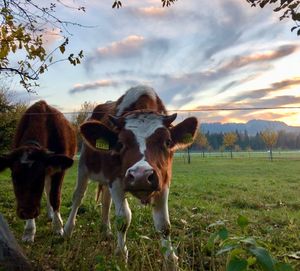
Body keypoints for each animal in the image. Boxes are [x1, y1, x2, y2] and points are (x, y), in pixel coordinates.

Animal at [0, 101, 76, 243]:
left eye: (38, 178)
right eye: (14, 177)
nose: (27, 212)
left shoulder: (58, 171)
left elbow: (55, 197)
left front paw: (58, 227)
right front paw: (29, 231)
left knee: (50, 191)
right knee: (47, 190)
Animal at [64, 85, 198, 270]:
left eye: (168, 142)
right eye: (120, 143)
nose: (141, 176)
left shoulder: (163, 182)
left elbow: (164, 224)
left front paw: (171, 260)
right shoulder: (116, 180)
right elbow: (123, 218)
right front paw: (121, 255)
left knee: (106, 201)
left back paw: (106, 230)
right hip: (83, 165)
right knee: (78, 197)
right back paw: (67, 230)